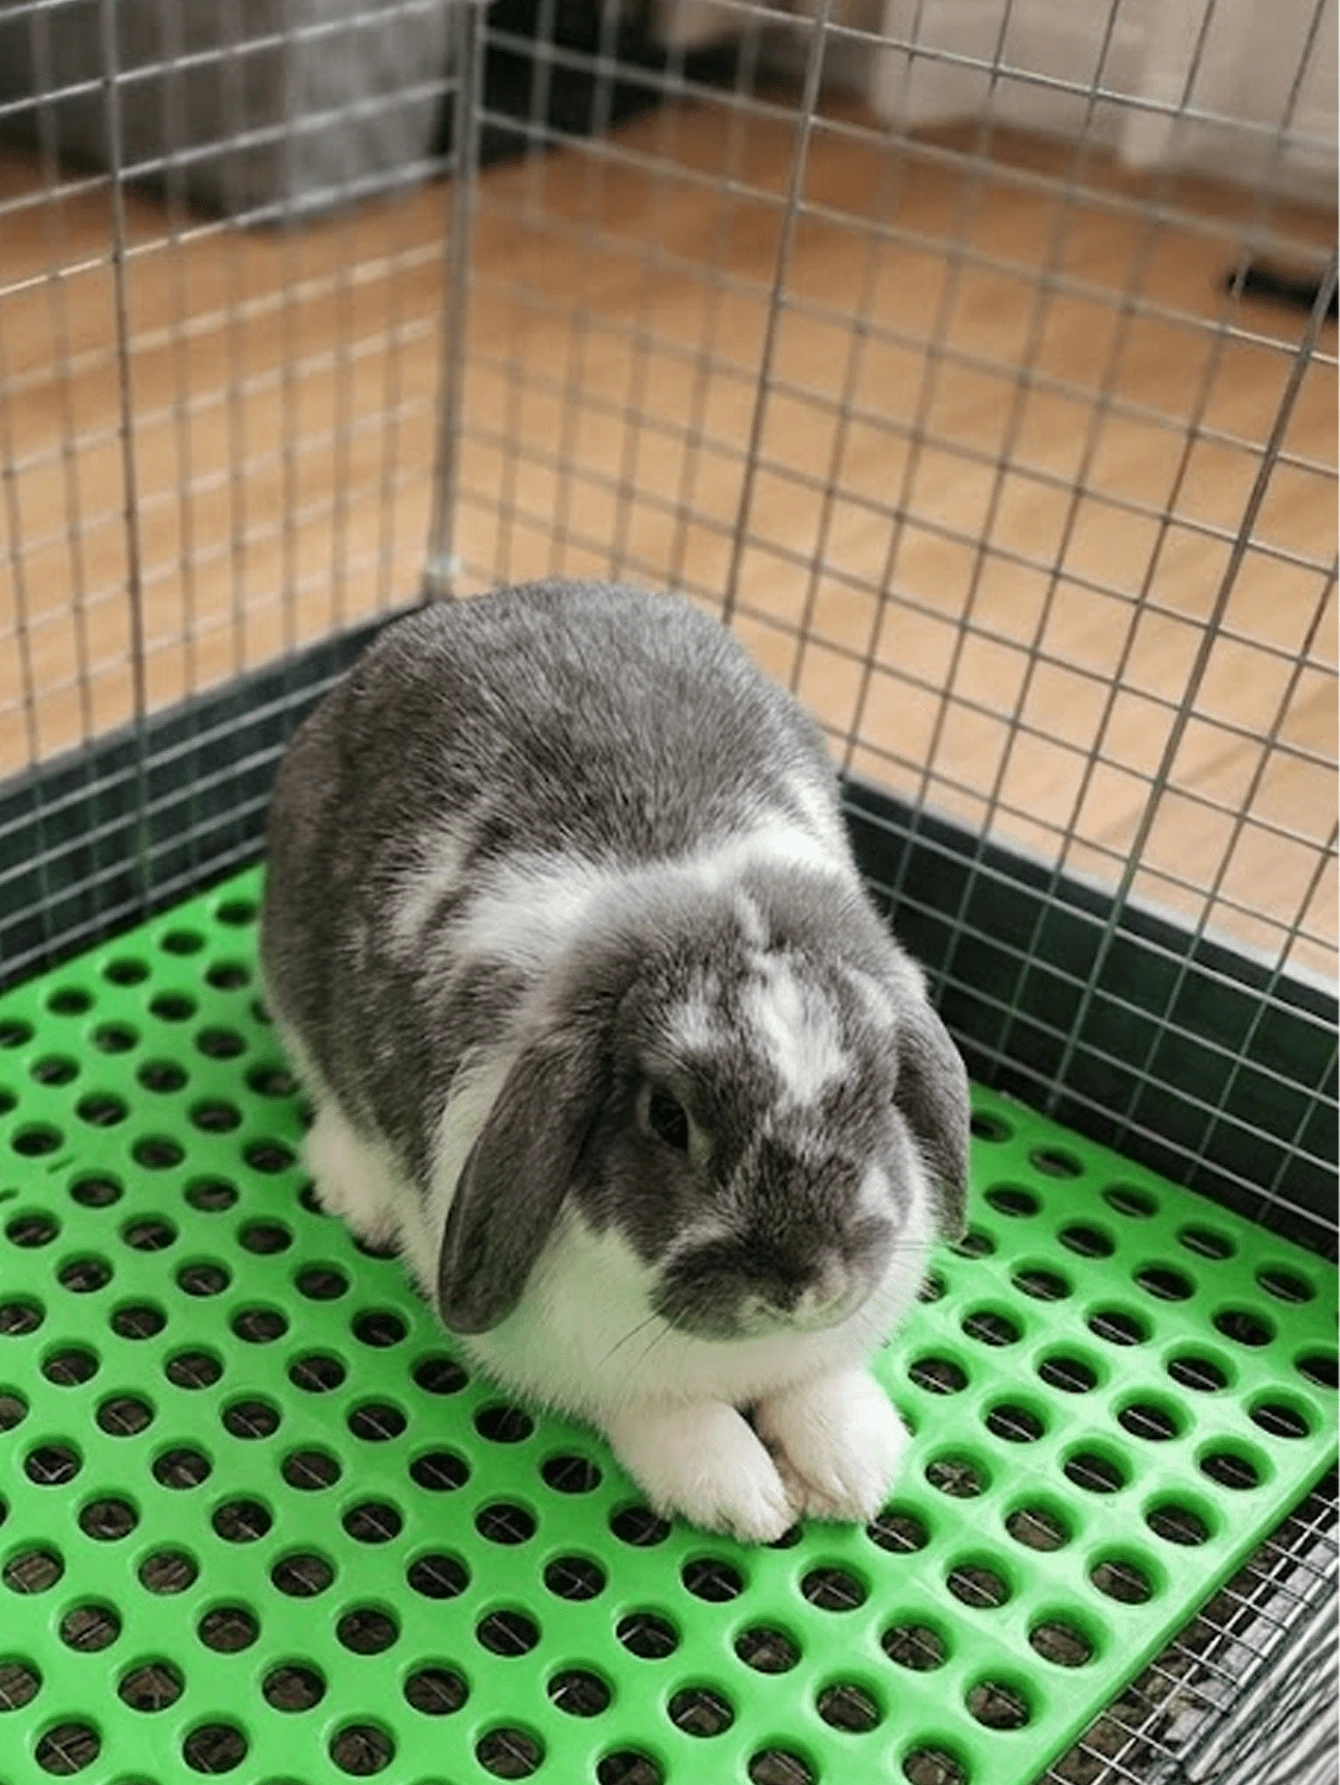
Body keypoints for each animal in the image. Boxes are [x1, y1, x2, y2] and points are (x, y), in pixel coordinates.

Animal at [259, 579, 969, 1542]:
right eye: (667, 1118)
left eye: (884, 1092)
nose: (802, 1285)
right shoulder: (606, 1374)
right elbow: (672, 1417)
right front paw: (745, 1498)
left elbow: (818, 1387)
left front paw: (852, 1469)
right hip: (296, 974)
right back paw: (357, 1186)